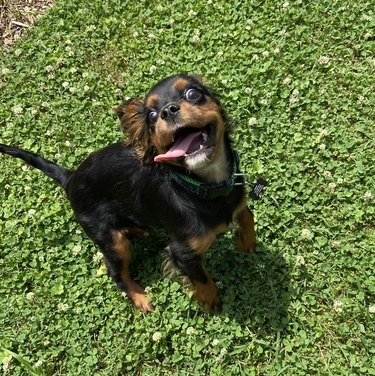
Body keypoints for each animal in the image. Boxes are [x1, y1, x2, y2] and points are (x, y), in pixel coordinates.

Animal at [0, 73, 258, 312]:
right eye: (151, 116)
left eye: (192, 94)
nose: (167, 111)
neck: (205, 186)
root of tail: (70, 177)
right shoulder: (182, 252)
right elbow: (201, 278)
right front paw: (210, 300)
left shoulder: (236, 197)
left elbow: (247, 215)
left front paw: (246, 242)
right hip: (112, 243)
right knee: (117, 274)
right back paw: (140, 298)